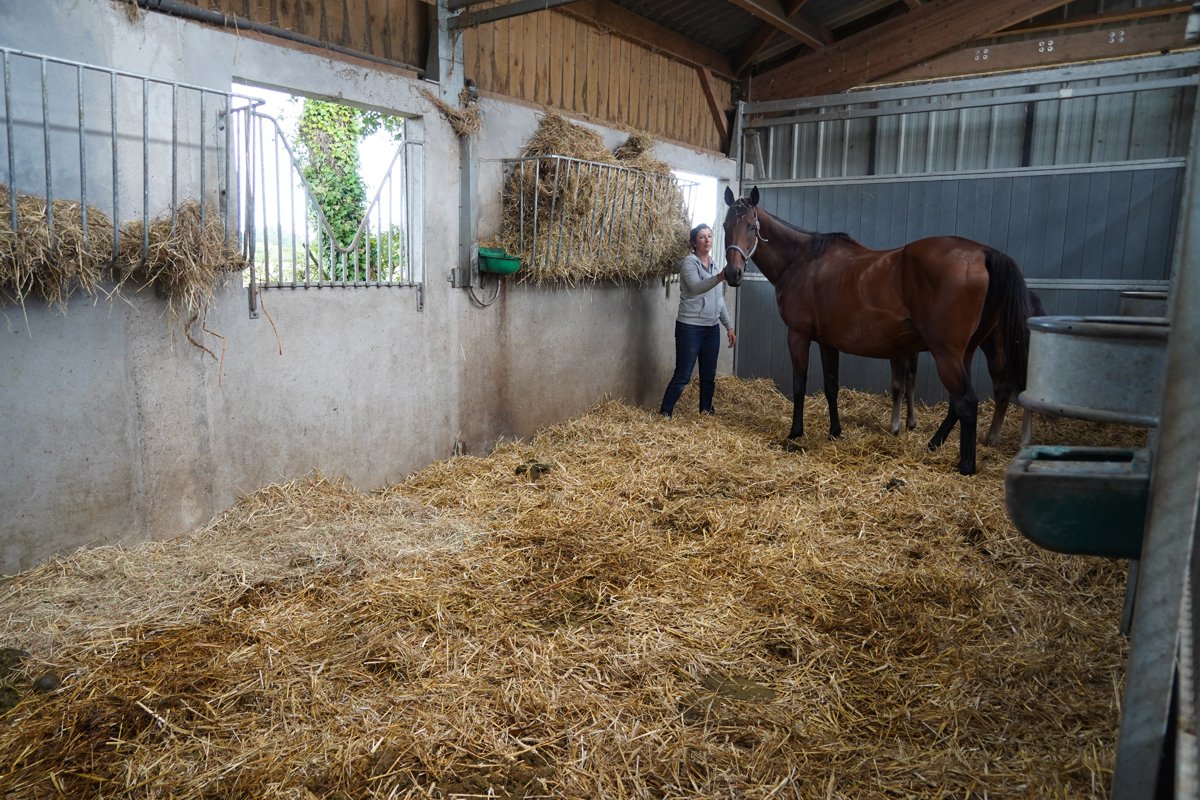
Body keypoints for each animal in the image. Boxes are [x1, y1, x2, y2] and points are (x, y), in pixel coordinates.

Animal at [721, 186, 1037, 476]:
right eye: (726, 226)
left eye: (751, 227)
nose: (733, 274)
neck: (802, 260)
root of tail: (984, 253)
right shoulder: (827, 342)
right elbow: (831, 386)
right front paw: (835, 431)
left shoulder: (798, 336)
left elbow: (800, 384)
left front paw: (795, 432)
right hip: (965, 353)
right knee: (956, 404)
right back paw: (934, 443)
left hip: (947, 354)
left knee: (967, 402)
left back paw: (966, 465)